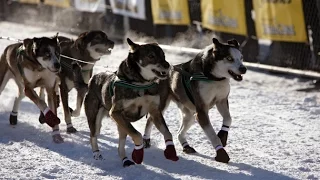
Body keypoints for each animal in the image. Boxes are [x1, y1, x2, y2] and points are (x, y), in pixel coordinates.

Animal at [84, 38, 179, 167]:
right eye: (151, 56)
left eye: (163, 55)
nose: (167, 65)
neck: (141, 84)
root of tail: (93, 78)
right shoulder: (116, 112)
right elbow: (137, 135)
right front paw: (138, 154)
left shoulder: (155, 111)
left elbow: (168, 133)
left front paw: (170, 151)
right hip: (97, 118)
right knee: (93, 135)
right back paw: (97, 153)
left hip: (121, 124)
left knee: (120, 145)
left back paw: (125, 160)